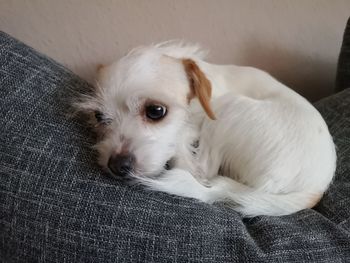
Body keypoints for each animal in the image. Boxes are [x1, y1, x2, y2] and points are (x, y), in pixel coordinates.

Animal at [75, 42, 338, 218]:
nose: (117, 165)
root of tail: (314, 190)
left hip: (230, 106)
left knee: (202, 170)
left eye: (156, 111)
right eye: (99, 116)